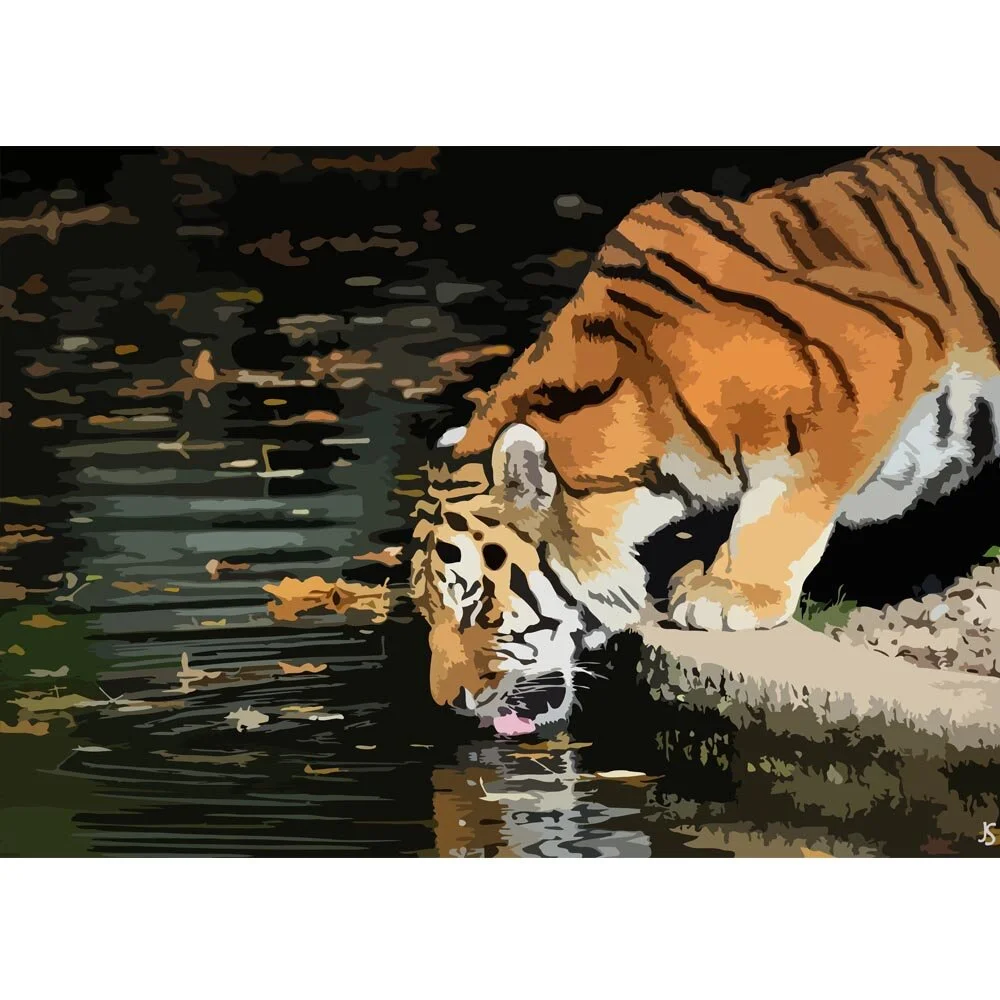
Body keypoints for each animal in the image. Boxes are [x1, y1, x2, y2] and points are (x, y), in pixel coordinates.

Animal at [416, 146, 1000, 734]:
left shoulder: (871, 353)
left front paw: (732, 591)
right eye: (426, 608)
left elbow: (787, 500)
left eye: (474, 607)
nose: (448, 703)